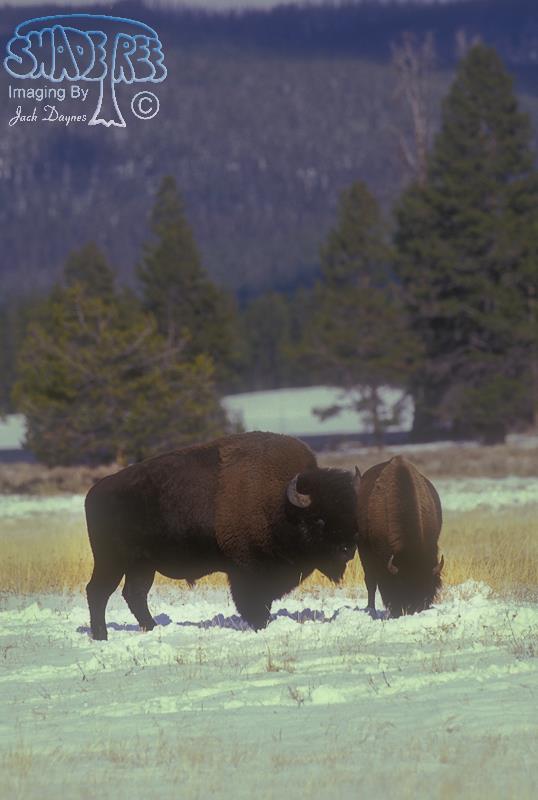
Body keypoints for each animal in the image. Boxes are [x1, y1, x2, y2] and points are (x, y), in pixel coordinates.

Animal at [85, 431, 359, 639]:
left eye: (352, 512)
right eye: (319, 519)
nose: (348, 549)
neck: (281, 504)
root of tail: (94, 492)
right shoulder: (247, 570)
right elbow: (255, 603)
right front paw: (260, 625)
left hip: (142, 565)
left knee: (135, 594)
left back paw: (151, 628)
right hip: (111, 561)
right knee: (98, 591)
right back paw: (102, 636)